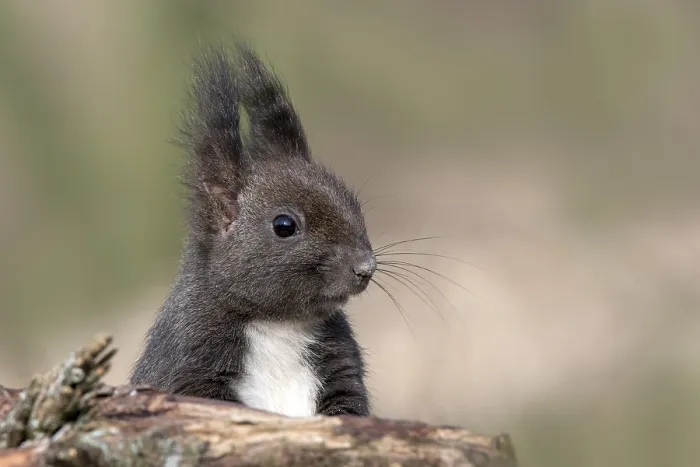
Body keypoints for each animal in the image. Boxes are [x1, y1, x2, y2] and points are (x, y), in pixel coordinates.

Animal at [129, 43, 375, 417]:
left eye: (354, 203)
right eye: (284, 226)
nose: (366, 267)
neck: (279, 326)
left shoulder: (340, 366)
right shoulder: (188, 359)